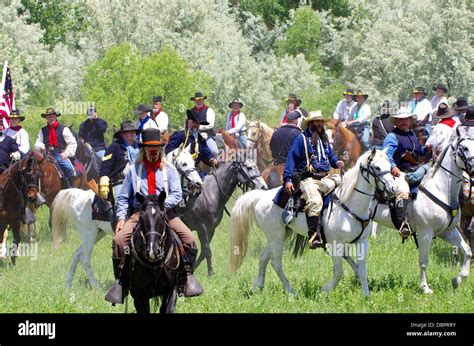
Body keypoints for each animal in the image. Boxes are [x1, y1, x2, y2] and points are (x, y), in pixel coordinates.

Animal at [51, 147, 203, 288]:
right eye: (184, 163)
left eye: (193, 162)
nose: (198, 184)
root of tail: (78, 195)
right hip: (89, 235)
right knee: (85, 258)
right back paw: (95, 286)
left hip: (97, 234)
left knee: (77, 254)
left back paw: (68, 283)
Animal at [230, 147, 396, 296]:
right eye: (377, 167)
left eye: (389, 166)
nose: (393, 188)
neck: (348, 204)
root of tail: (261, 196)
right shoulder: (335, 244)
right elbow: (339, 273)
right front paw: (324, 290)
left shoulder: (362, 242)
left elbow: (361, 270)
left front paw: (366, 296)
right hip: (276, 237)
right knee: (276, 263)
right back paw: (292, 292)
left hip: (281, 235)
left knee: (264, 257)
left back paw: (258, 285)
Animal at [372, 125, 472, 294]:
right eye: (464, 148)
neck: (440, 189)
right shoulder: (426, 233)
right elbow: (424, 261)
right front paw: (425, 287)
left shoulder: (448, 232)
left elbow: (468, 251)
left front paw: (456, 281)